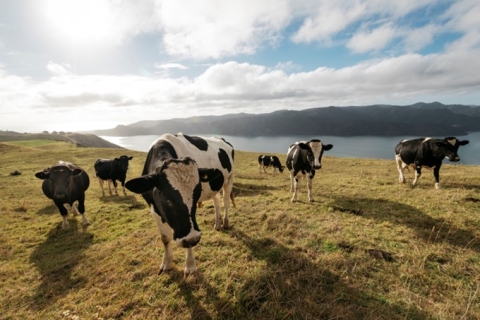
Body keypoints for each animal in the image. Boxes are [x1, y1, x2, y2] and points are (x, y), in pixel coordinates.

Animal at [125, 132, 234, 276]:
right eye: (167, 199)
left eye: (196, 195)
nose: (194, 238)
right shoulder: (153, 209)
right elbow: (165, 238)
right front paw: (167, 264)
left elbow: (188, 242)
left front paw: (190, 266)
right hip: (214, 187)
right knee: (216, 202)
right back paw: (217, 224)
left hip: (229, 179)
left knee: (226, 202)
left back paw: (225, 223)